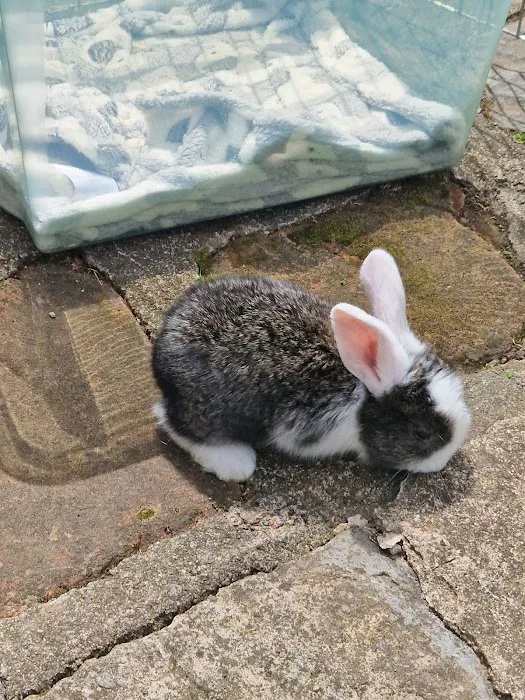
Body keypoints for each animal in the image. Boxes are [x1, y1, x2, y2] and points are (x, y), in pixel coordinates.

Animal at [152, 248, 471, 482]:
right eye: (421, 432)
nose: (445, 460)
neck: (360, 398)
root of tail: (161, 349)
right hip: (210, 412)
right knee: (172, 423)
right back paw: (235, 462)